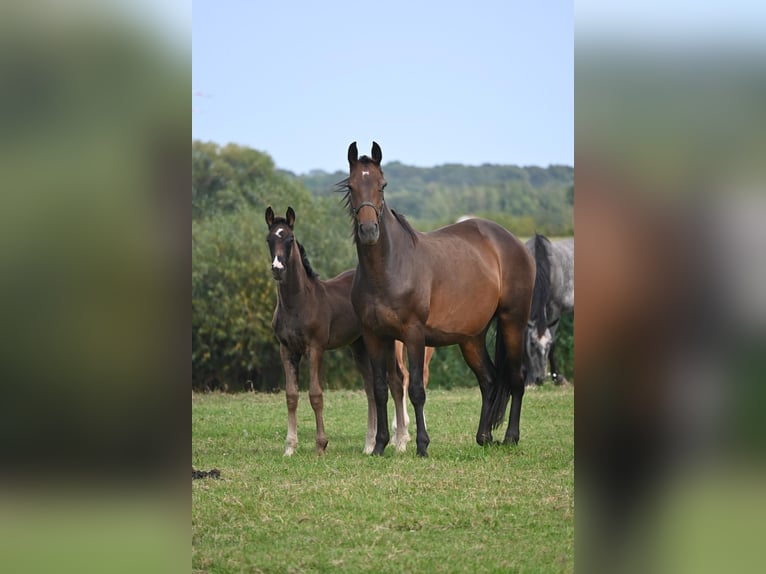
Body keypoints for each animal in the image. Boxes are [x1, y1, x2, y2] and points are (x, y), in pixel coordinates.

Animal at [266, 209, 408, 456]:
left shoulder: (315, 348)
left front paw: (321, 445)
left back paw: (400, 442)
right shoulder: (286, 350)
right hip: (359, 346)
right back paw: (369, 444)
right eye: (269, 239)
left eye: (290, 239)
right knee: (370, 388)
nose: (277, 269)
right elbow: (291, 395)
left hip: (386, 342)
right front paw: (290, 447)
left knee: (396, 381)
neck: (298, 303)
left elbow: (315, 394)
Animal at [340, 144, 536, 460]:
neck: (389, 269)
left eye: (382, 185)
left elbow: (417, 390)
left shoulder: (414, 335)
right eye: (351, 186)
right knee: (489, 380)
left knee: (516, 377)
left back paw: (510, 437)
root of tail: (514, 243)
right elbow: (381, 389)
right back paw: (484, 437)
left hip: (513, 322)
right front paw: (380, 445)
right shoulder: (375, 336)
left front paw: (422, 445)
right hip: (472, 338)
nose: (369, 231)